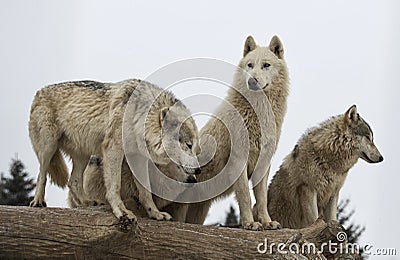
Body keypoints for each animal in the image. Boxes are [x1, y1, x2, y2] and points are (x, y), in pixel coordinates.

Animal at [28, 78, 200, 225]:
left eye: (197, 149)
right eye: (189, 145)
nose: (198, 171)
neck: (139, 117)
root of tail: (39, 91)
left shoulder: (138, 158)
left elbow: (146, 192)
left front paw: (155, 213)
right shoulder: (113, 148)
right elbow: (115, 185)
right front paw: (122, 212)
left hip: (83, 156)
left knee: (73, 181)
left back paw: (88, 202)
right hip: (48, 147)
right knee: (42, 174)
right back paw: (38, 201)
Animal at [186, 35, 290, 231]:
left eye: (266, 65)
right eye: (250, 65)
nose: (252, 80)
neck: (257, 113)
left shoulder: (264, 163)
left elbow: (262, 198)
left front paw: (267, 222)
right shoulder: (239, 160)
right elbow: (245, 197)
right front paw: (250, 223)